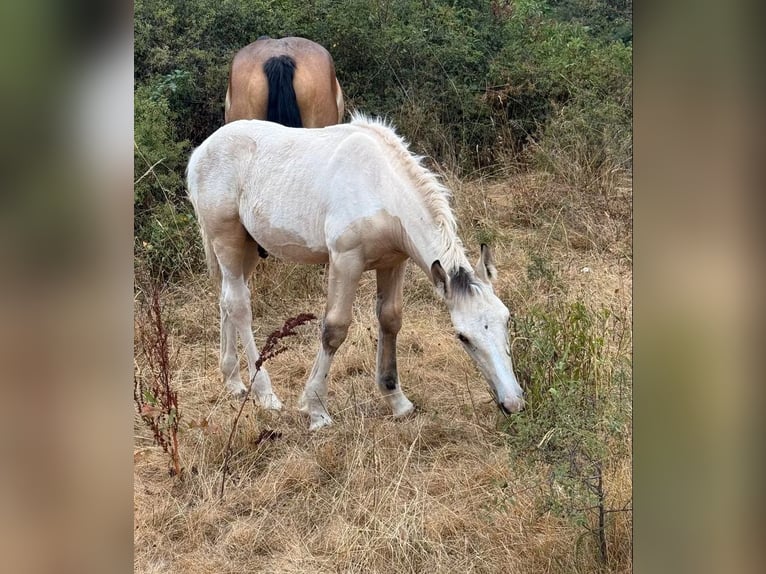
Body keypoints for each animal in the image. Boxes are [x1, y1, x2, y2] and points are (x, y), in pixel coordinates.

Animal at [186, 113, 525, 431]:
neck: (380, 186)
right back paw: (265, 394)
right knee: (239, 306)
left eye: (506, 319)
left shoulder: (393, 262)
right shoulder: (345, 261)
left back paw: (233, 381)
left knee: (226, 300)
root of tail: (201, 152)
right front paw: (316, 409)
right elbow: (334, 329)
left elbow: (390, 320)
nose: (512, 403)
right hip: (227, 240)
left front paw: (397, 400)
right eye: (462, 337)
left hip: (248, 248)